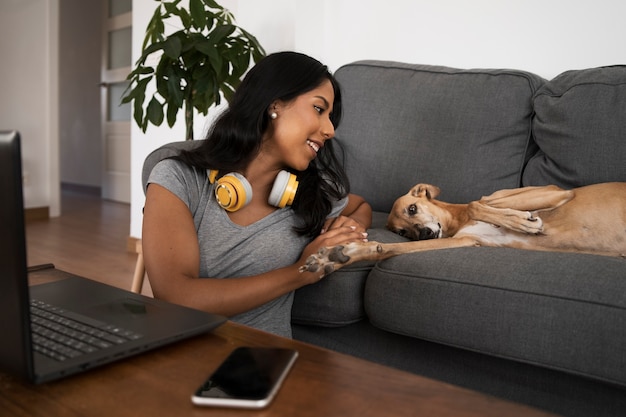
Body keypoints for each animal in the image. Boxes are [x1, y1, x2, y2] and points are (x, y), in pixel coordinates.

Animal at [298, 181, 624, 276]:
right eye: (402, 232)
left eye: (412, 209)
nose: (425, 233)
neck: (457, 221)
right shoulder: (468, 241)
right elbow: (385, 249)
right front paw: (337, 255)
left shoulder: (555, 192)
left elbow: (478, 203)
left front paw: (524, 220)